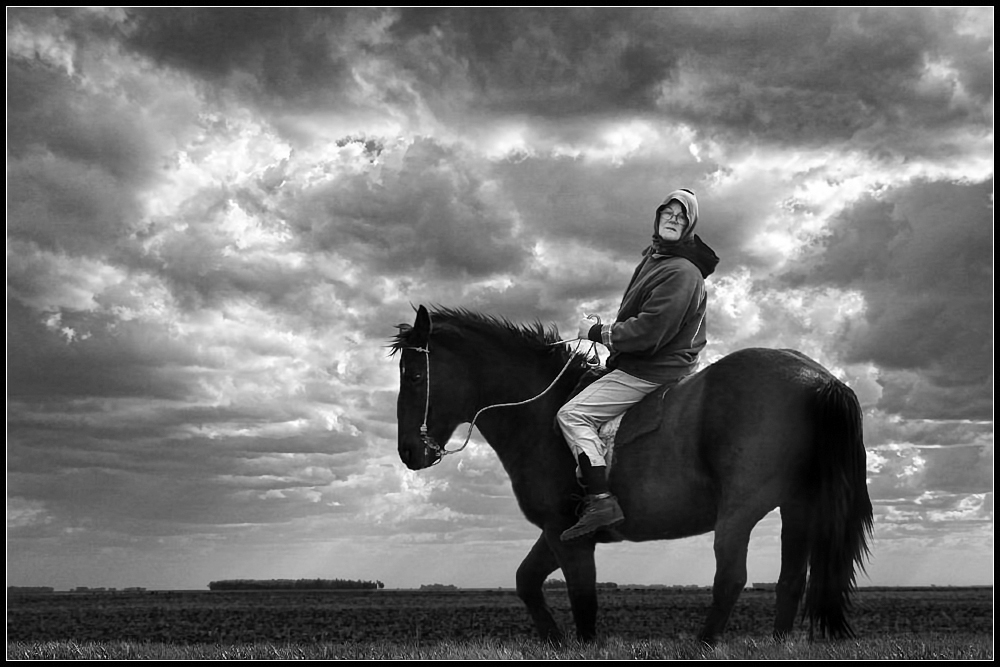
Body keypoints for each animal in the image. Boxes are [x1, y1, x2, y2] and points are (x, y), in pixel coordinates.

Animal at [386, 306, 872, 644]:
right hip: (798, 507)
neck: (541, 414)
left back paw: (701, 645)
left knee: (731, 579)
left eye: (414, 376)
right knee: (789, 581)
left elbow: (584, 603)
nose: (409, 452)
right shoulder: (560, 531)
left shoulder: (569, 537)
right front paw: (554, 641)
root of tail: (816, 377)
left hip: (739, 511)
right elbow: (527, 582)